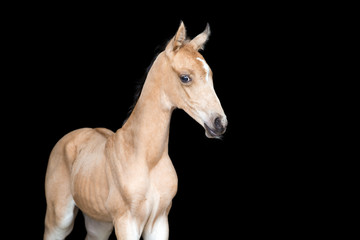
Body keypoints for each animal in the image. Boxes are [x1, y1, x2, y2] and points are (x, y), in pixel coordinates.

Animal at [43, 22, 226, 240]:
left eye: (211, 75)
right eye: (185, 78)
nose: (219, 123)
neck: (147, 159)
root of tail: (69, 138)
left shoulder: (159, 222)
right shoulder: (127, 222)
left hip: (99, 223)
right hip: (59, 218)